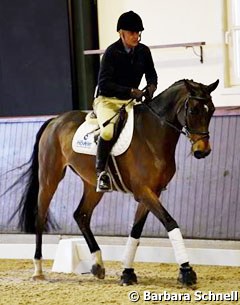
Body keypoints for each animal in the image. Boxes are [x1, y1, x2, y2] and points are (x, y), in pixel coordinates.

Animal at [11, 78, 219, 284]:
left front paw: (127, 272)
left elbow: (136, 230)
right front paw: (186, 271)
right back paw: (38, 269)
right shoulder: (143, 191)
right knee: (40, 216)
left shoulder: (153, 192)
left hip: (92, 186)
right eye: (193, 111)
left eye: (211, 110)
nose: (203, 151)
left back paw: (97, 265)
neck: (153, 135)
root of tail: (55, 120)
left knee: (81, 215)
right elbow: (170, 222)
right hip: (50, 177)